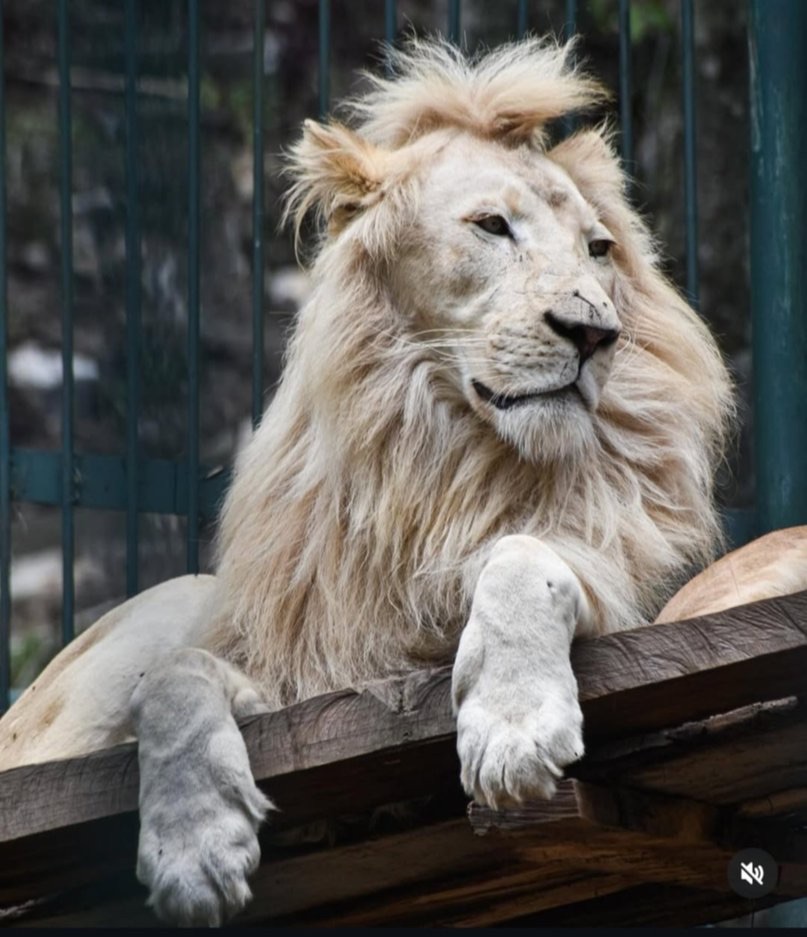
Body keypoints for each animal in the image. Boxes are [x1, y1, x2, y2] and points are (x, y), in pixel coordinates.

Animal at [2, 36, 806, 927]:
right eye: (491, 226)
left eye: (598, 249)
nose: (594, 331)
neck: (449, 461)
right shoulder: (306, 676)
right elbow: (177, 679)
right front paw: (193, 849)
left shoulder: (631, 595)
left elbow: (522, 558)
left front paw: (513, 726)